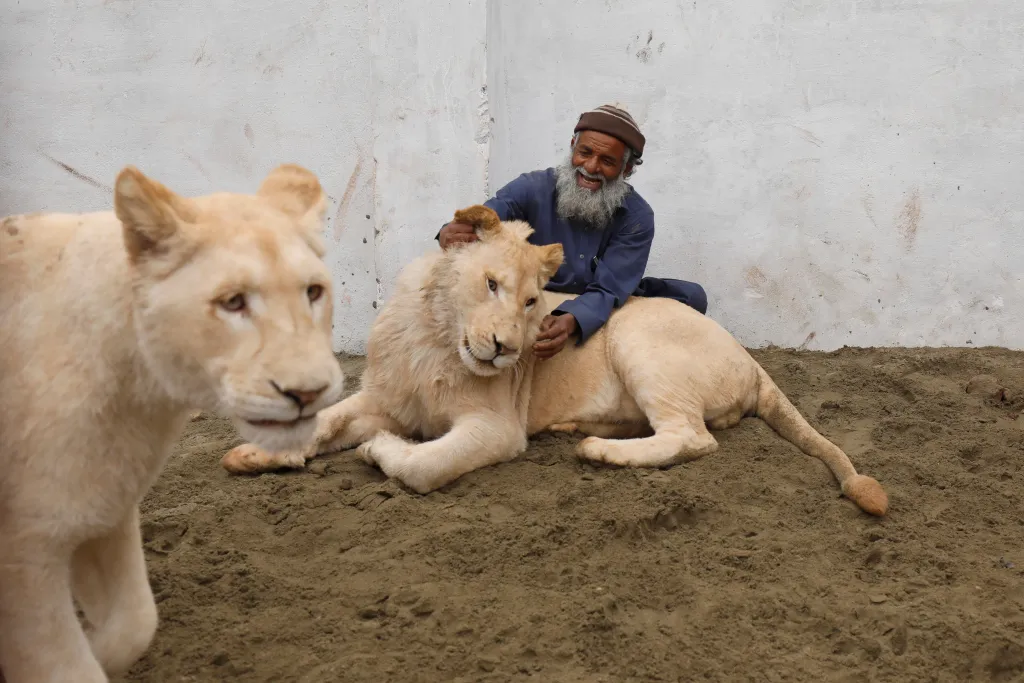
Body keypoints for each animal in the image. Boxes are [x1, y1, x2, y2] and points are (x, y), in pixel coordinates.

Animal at [0, 164, 345, 682]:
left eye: (313, 292)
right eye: (233, 302)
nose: (307, 393)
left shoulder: (105, 509)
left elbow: (135, 621)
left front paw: (100, 651)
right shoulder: (26, 555)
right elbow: (66, 665)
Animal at [221, 204, 888, 519]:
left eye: (530, 301)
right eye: (491, 284)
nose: (506, 349)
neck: (437, 337)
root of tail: (752, 362)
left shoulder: (496, 428)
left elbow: (423, 466)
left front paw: (382, 451)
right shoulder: (388, 395)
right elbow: (328, 420)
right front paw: (257, 455)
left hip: (639, 337)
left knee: (693, 438)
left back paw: (598, 451)